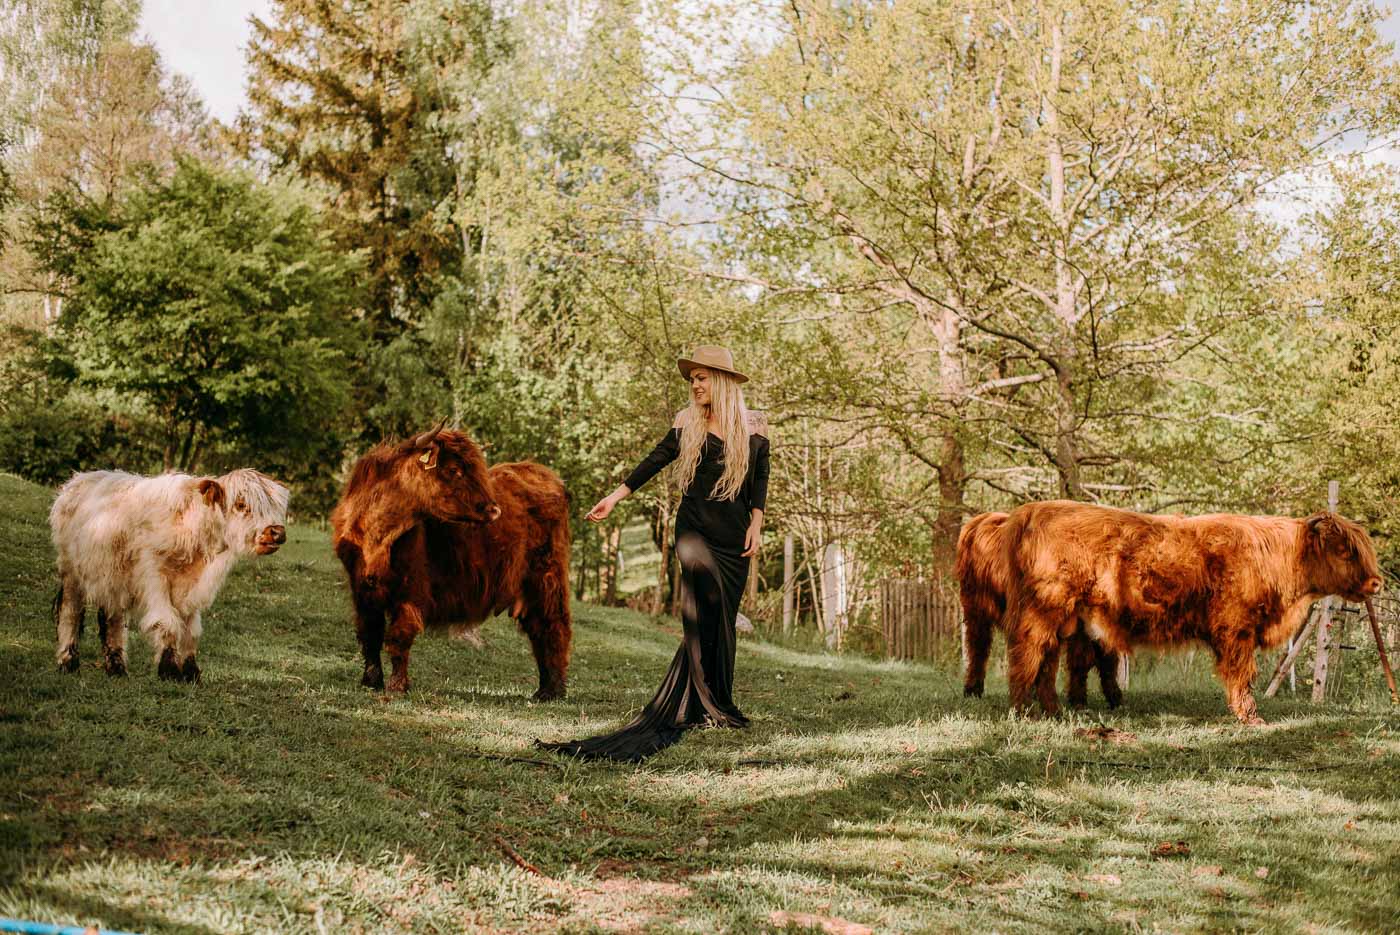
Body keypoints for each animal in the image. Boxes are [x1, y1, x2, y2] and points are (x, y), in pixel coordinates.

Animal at [50, 468, 289, 681]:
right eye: (241, 504)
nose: (277, 532)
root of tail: (78, 479)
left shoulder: (191, 591)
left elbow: (191, 630)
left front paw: (191, 672)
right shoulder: (155, 577)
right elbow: (168, 622)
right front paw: (170, 670)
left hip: (112, 578)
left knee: (113, 619)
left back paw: (117, 669)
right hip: (71, 572)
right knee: (70, 613)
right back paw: (68, 663)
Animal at [330, 423, 572, 701]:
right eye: (454, 470)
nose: (494, 510)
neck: (377, 535)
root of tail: (548, 476)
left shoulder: (412, 590)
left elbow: (399, 637)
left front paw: (397, 686)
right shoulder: (361, 591)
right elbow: (370, 634)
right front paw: (371, 681)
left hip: (546, 578)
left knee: (553, 627)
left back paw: (552, 690)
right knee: (538, 628)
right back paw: (544, 689)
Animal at [956, 511, 1122, 708]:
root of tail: (980, 519)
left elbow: (1088, 660)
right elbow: (1081, 659)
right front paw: (1079, 700)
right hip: (975, 610)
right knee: (978, 648)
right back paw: (972, 690)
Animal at [999, 500, 1383, 724]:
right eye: (1345, 550)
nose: (1377, 582)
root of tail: (1034, 510)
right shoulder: (1237, 628)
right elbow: (1242, 673)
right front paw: (1250, 717)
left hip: (1063, 617)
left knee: (1047, 660)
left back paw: (1051, 709)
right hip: (1045, 609)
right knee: (1027, 655)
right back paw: (1023, 710)